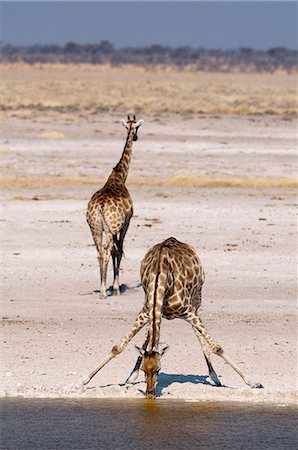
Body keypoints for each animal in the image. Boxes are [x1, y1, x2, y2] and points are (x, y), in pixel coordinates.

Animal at [83, 237, 264, 400]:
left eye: (159, 370)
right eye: (144, 370)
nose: (150, 394)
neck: (161, 279)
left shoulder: (189, 311)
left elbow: (217, 347)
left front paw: (253, 382)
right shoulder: (146, 311)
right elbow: (119, 347)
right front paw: (84, 379)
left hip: (197, 298)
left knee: (198, 333)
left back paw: (214, 377)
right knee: (149, 335)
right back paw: (131, 376)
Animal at [86, 115, 144, 298]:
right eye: (137, 127)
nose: (136, 137)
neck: (119, 176)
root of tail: (100, 207)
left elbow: (115, 251)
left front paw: (114, 286)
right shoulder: (126, 223)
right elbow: (119, 250)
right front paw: (116, 288)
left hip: (95, 229)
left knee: (99, 253)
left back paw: (102, 288)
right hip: (110, 229)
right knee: (106, 252)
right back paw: (104, 291)